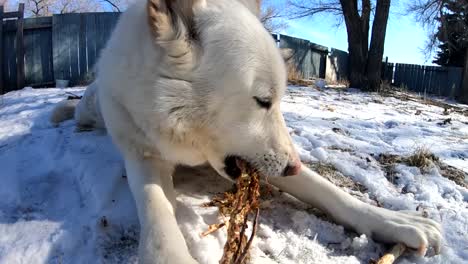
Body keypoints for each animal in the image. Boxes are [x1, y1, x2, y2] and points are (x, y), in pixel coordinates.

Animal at [51, 0, 442, 264]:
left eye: (279, 101)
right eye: (262, 100)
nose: (294, 167)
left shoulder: (265, 160)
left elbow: (328, 192)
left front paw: (393, 221)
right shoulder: (142, 155)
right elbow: (157, 210)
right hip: (97, 108)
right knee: (79, 111)